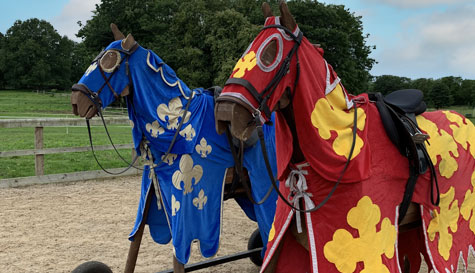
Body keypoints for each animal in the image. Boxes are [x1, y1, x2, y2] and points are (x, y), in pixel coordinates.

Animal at [70, 23, 278, 270]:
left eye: (110, 59)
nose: (76, 101)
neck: (179, 123)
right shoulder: (152, 192)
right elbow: (135, 244)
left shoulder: (185, 214)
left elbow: (178, 255)